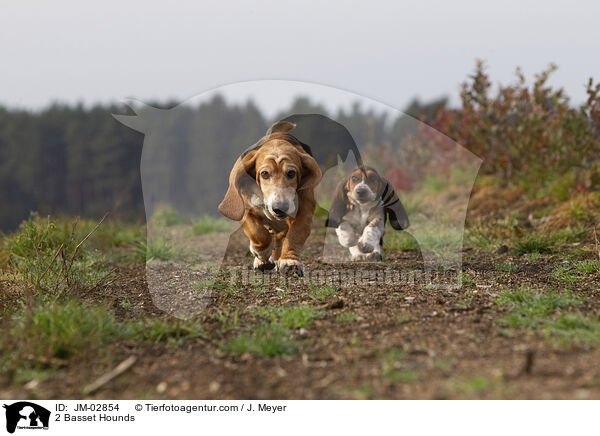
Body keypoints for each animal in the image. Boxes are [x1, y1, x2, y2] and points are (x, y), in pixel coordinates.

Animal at [217, 121, 322, 274]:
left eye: (291, 173)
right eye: (264, 174)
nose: (280, 208)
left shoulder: (304, 211)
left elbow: (295, 234)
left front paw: (290, 261)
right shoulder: (247, 211)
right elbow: (259, 234)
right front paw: (262, 256)